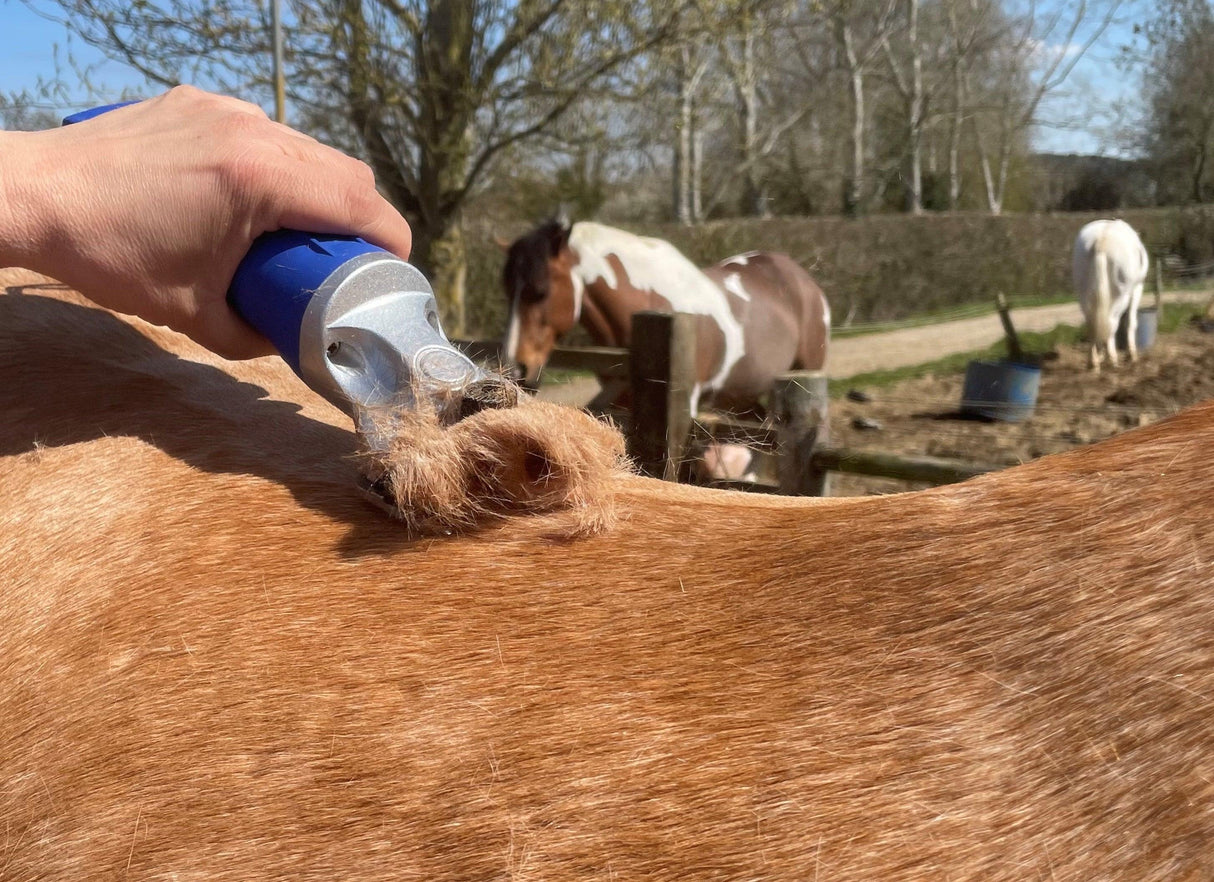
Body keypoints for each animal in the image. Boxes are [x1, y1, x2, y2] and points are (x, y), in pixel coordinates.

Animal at [1078, 220, 1150, 373]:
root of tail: (1101, 240)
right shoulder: (1137, 288)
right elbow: (1130, 322)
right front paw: (1131, 355)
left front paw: (1101, 355)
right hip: (1121, 297)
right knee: (1112, 323)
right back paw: (1112, 359)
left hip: (1082, 295)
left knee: (1092, 323)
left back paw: (1093, 362)